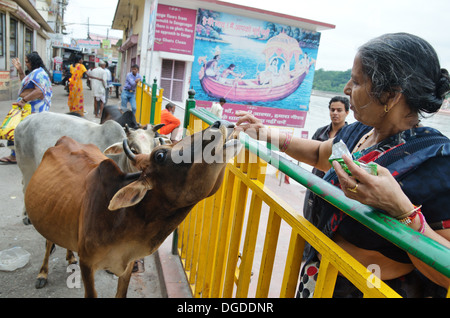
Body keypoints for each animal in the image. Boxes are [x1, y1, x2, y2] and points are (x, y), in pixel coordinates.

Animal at [25, 120, 241, 296]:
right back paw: (42, 273)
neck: (122, 219)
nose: (218, 123)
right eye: (160, 155)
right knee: (48, 241)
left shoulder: (128, 264)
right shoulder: (87, 263)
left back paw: (70, 257)